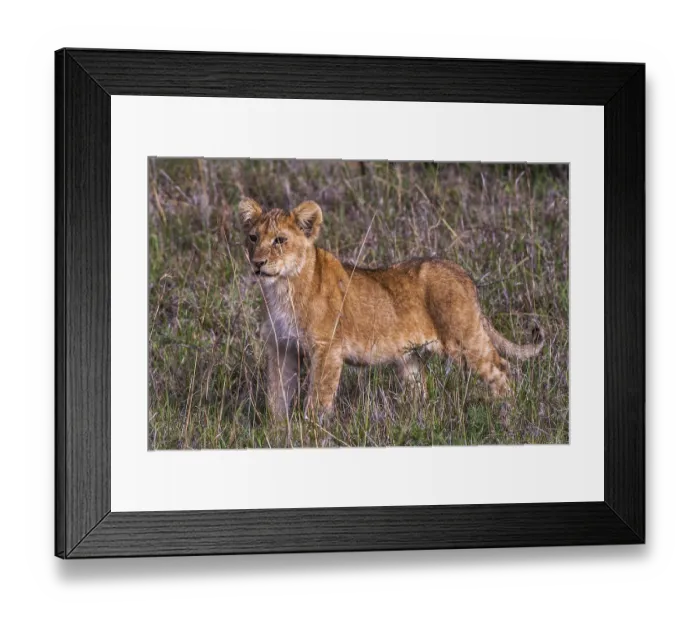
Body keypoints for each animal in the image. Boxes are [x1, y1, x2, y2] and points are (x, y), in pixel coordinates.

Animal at [239, 197, 544, 419]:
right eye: (253, 238)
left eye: (279, 240)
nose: (258, 263)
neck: (282, 288)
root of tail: (463, 274)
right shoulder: (281, 348)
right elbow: (277, 395)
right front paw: (278, 431)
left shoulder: (327, 350)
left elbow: (318, 400)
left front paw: (312, 433)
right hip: (410, 359)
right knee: (420, 392)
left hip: (465, 340)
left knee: (500, 368)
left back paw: (508, 415)